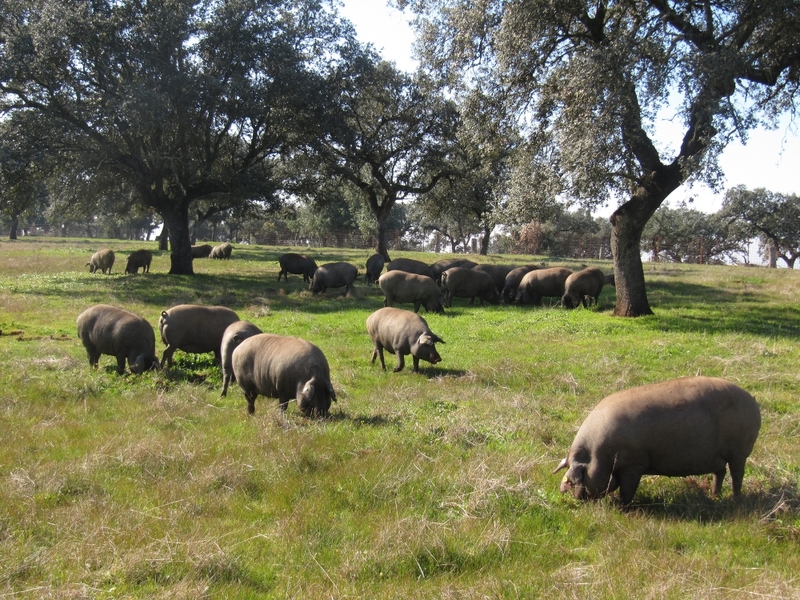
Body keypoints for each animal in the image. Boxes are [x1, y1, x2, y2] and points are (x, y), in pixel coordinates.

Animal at [552, 376, 760, 506]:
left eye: (581, 476)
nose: (579, 499)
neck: (600, 454)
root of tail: (752, 401)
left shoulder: (634, 464)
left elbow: (627, 490)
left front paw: (622, 507)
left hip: (739, 451)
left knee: (737, 474)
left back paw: (736, 499)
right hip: (718, 455)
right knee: (720, 472)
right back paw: (715, 497)